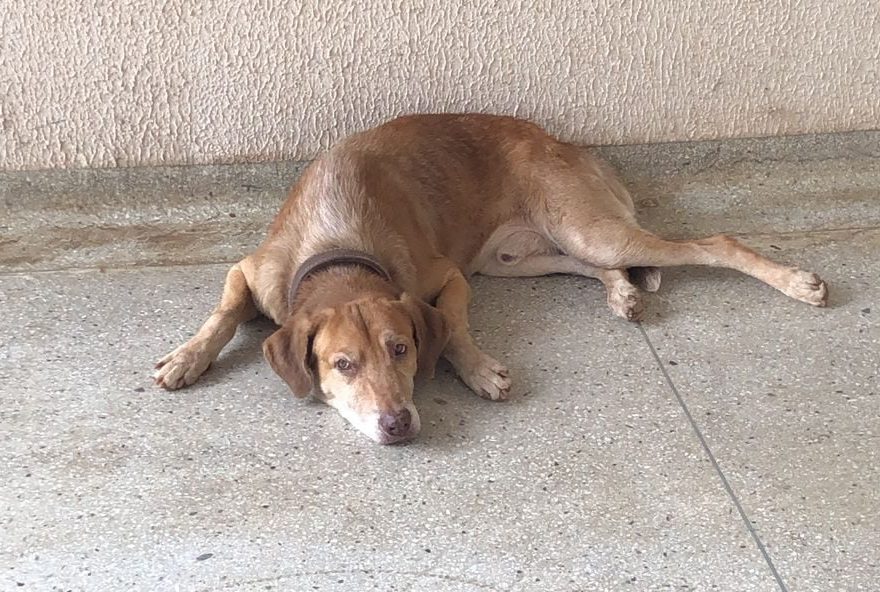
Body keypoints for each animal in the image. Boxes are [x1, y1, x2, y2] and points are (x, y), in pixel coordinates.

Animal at [153, 113, 832, 444]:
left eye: (401, 351)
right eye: (342, 364)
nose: (398, 424)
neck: (338, 250)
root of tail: (568, 145)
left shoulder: (448, 277)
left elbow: (452, 325)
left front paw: (476, 368)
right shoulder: (250, 271)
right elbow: (223, 311)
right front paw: (187, 356)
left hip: (583, 228)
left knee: (711, 244)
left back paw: (795, 282)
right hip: (520, 255)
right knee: (596, 265)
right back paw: (622, 291)